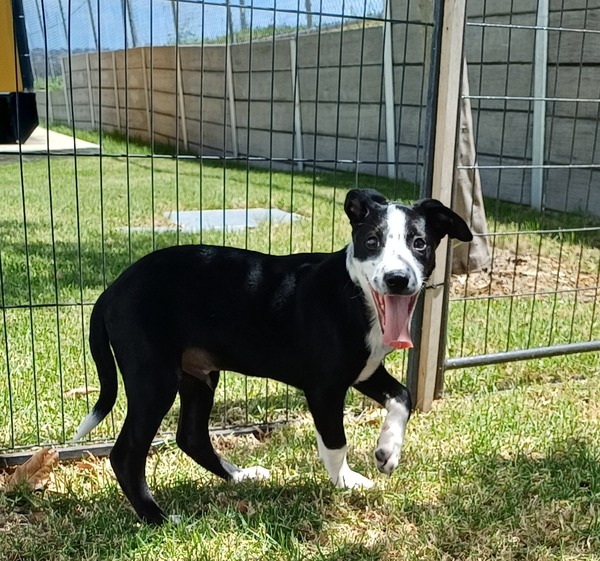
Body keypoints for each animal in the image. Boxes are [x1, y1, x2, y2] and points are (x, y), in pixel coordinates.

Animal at [73, 188, 473, 524]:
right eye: (372, 242)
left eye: (419, 243)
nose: (396, 279)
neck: (354, 294)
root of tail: (112, 289)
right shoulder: (325, 387)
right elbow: (336, 441)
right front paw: (345, 480)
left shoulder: (365, 370)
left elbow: (403, 397)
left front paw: (387, 451)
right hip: (154, 378)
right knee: (126, 454)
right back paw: (158, 517)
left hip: (198, 374)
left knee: (191, 437)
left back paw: (240, 475)